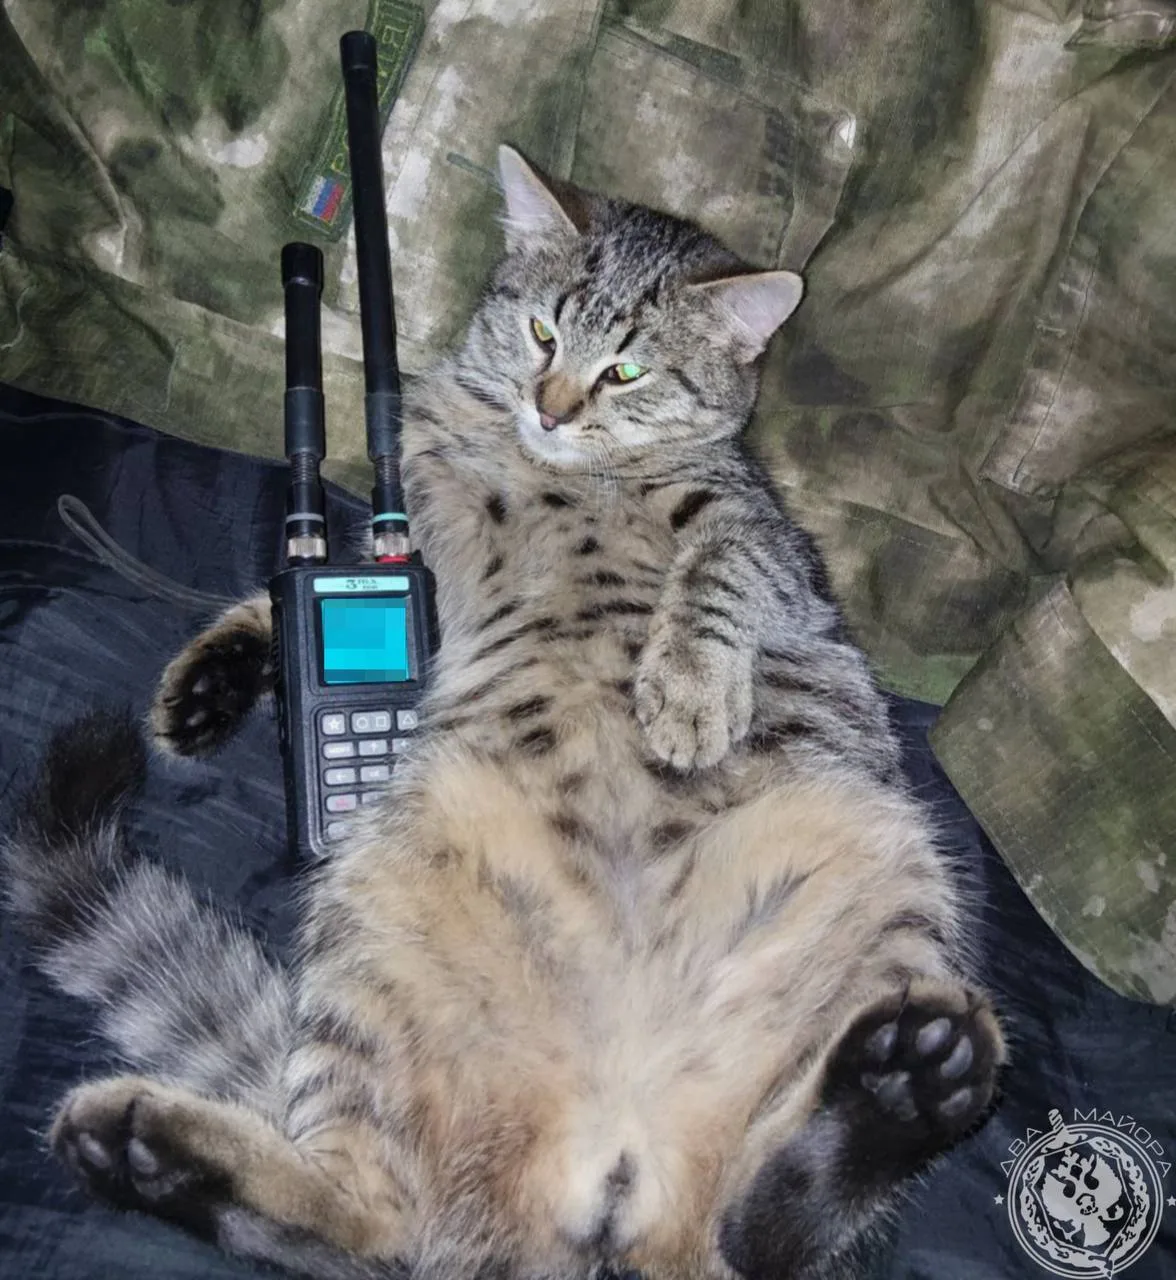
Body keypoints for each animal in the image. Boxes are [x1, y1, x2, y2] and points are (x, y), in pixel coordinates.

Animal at [2, 146, 1004, 1280]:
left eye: (628, 372)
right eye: (542, 333)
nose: (552, 405)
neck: (551, 465)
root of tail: (609, 1172)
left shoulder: (764, 538)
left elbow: (716, 570)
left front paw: (688, 690)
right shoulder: (406, 548)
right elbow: (289, 592)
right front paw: (214, 679)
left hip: (885, 878)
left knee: (762, 1233)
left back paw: (899, 1091)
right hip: (384, 914)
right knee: (377, 1222)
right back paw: (150, 1150)